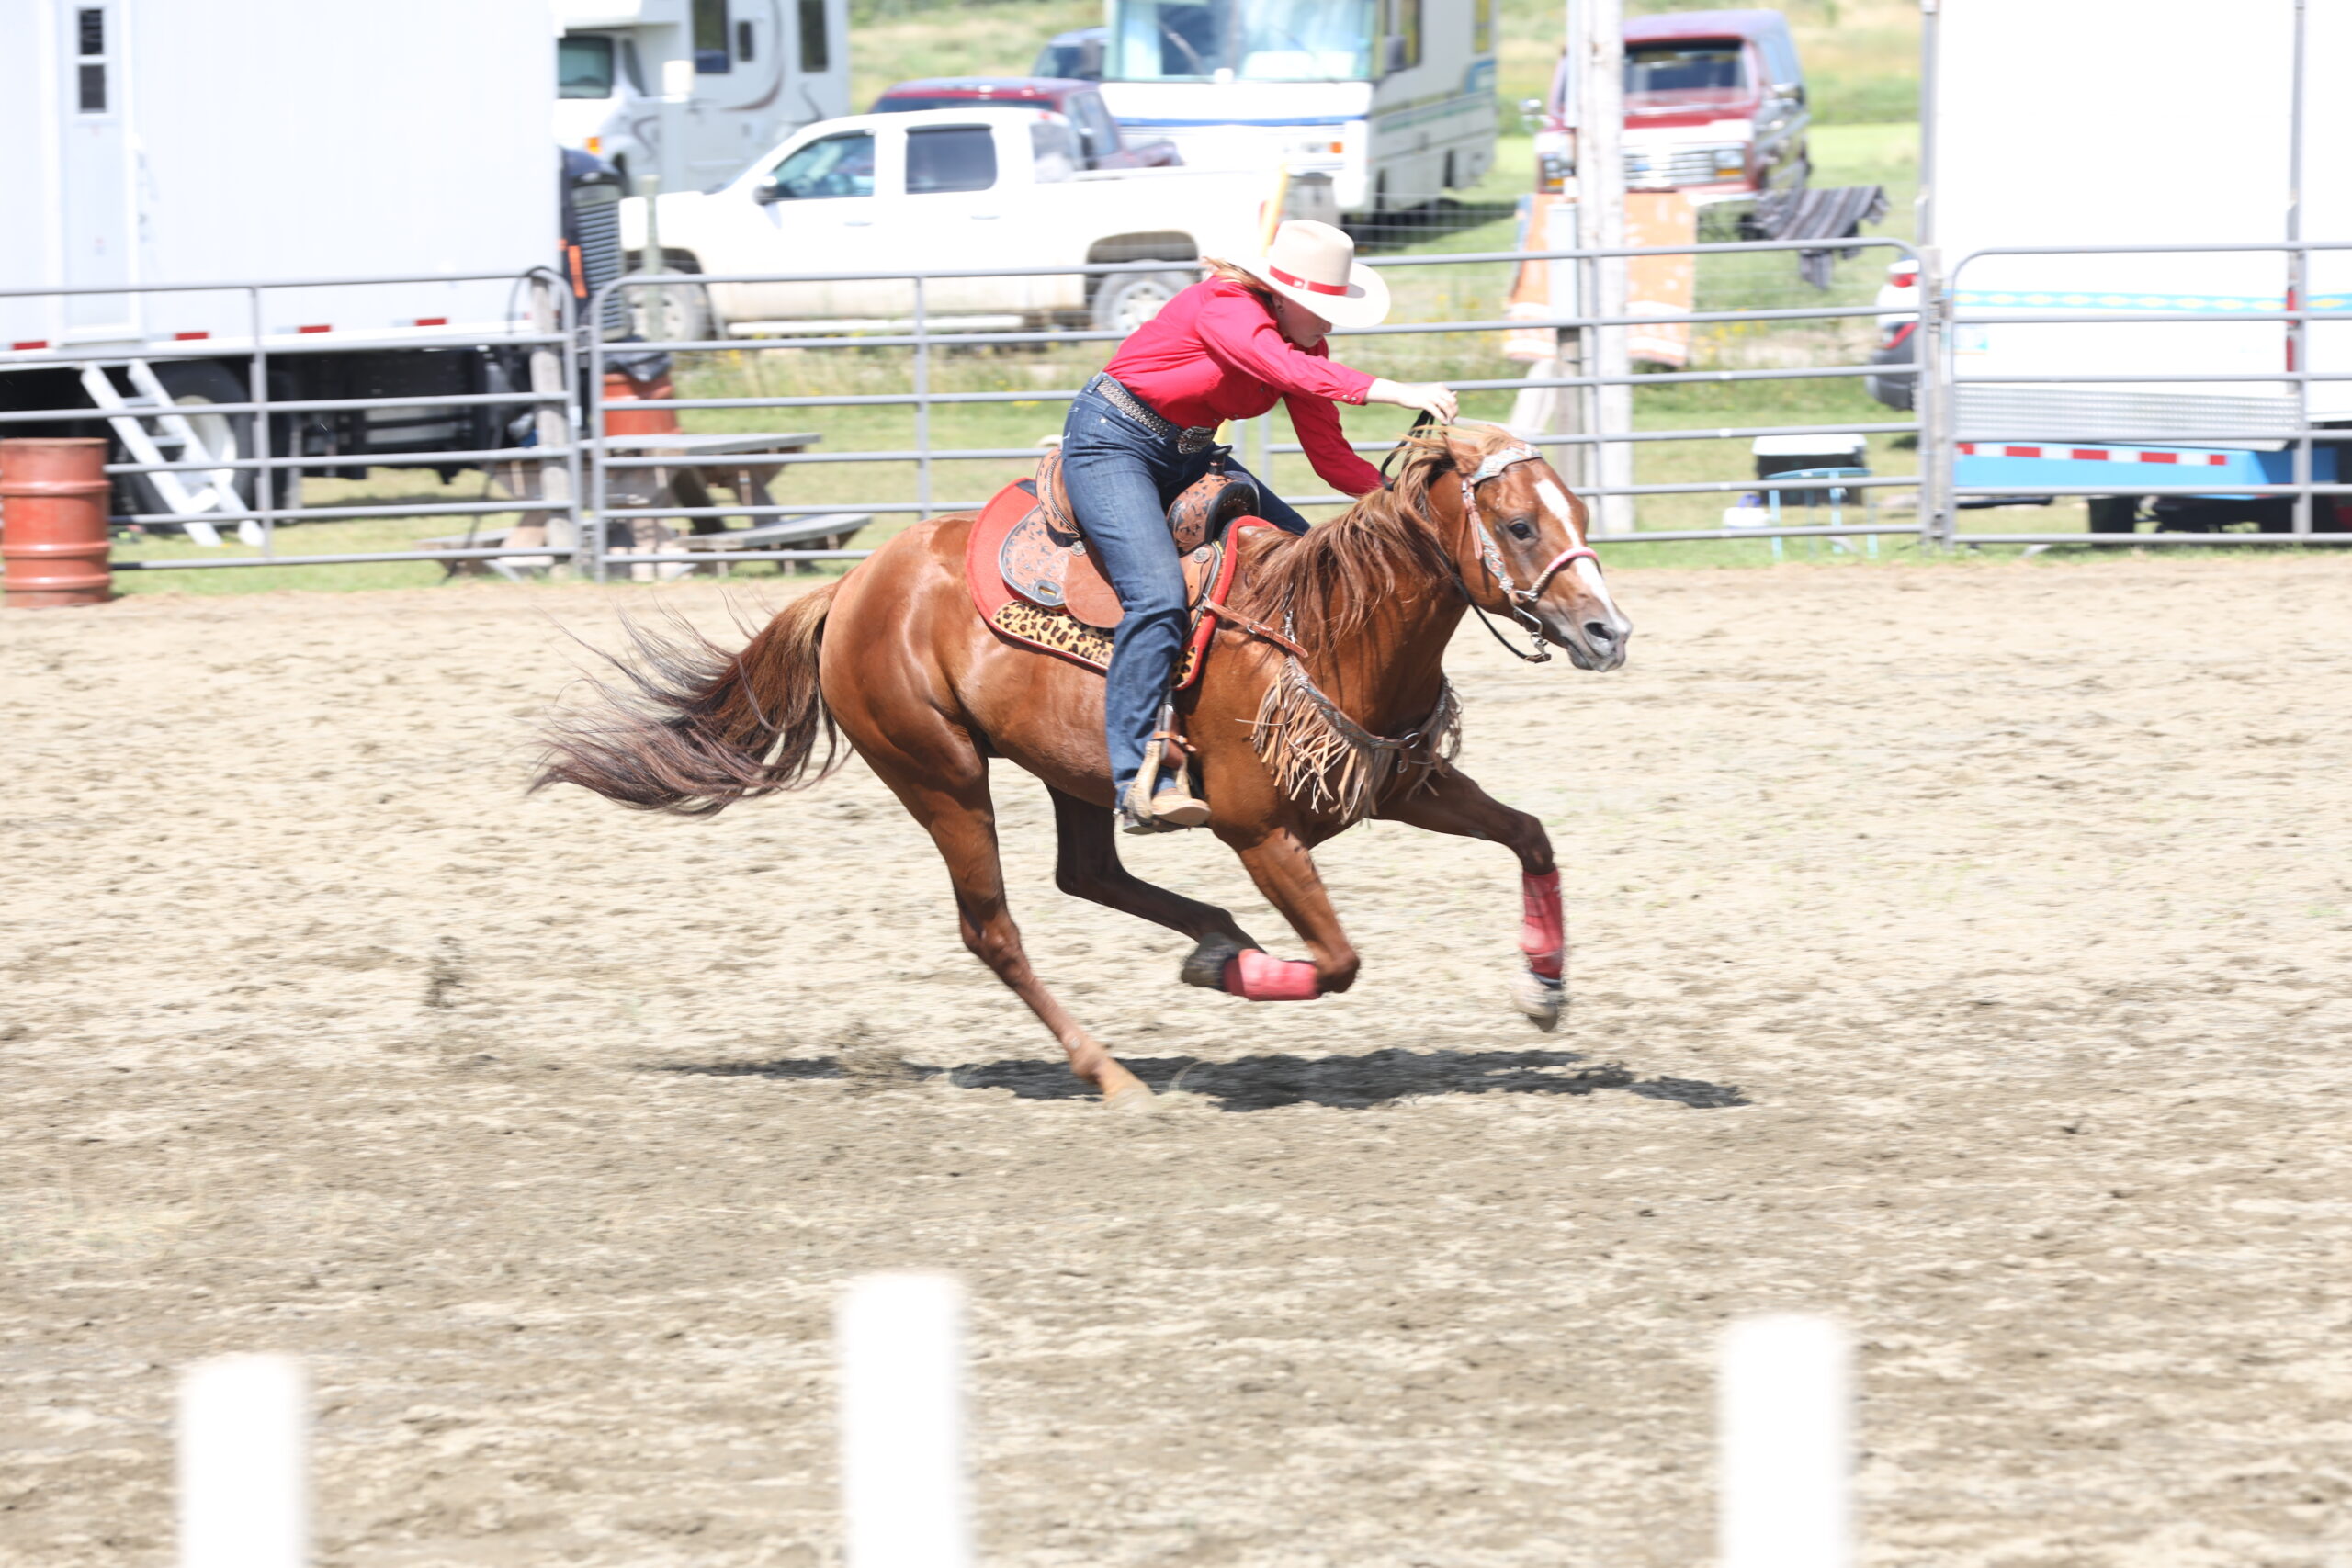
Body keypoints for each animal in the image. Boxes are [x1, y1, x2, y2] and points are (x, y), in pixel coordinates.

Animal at [533, 423, 1633, 1106]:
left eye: (1578, 511)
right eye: (1520, 524)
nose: (1608, 631)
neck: (1317, 625)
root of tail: (849, 586)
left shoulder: (1401, 782)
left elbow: (1530, 835)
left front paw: (1544, 989)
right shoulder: (1259, 831)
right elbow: (1337, 961)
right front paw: (1238, 975)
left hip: (1068, 772)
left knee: (1088, 871)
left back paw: (1209, 938)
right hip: (939, 773)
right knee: (995, 930)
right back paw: (1115, 1067)